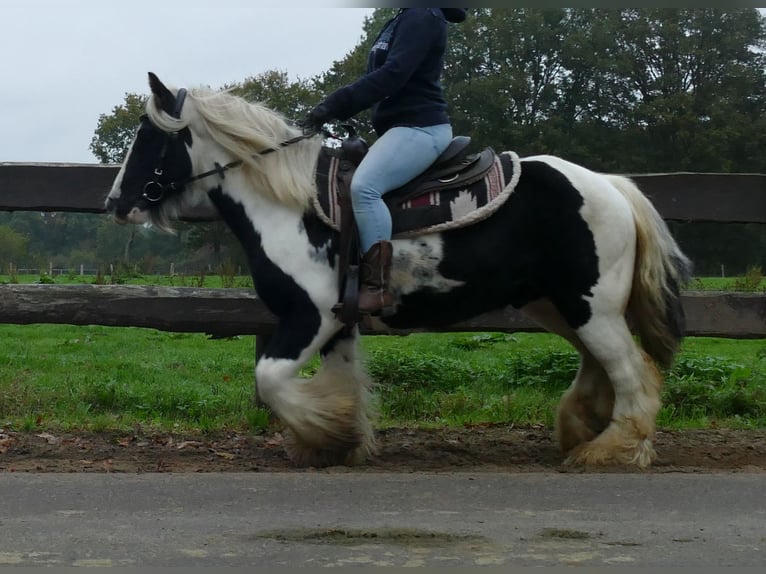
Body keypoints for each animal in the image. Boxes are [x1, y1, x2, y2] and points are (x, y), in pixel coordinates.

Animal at [105, 72, 691, 468]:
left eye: (151, 137)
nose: (116, 202)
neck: (290, 206)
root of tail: (611, 186)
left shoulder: (310, 317)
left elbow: (270, 379)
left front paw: (326, 432)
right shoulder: (338, 323)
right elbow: (342, 379)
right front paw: (339, 438)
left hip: (592, 308)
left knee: (632, 371)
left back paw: (611, 449)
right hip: (559, 307)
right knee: (600, 365)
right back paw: (581, 431)